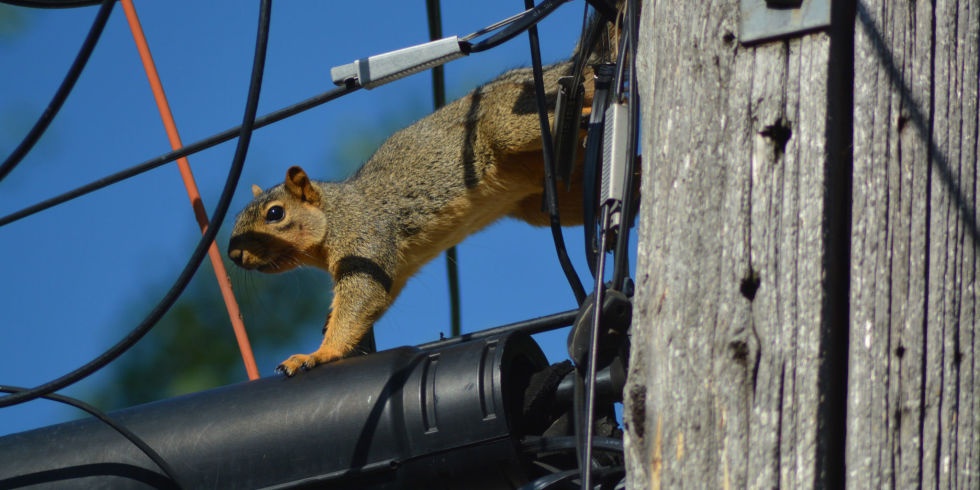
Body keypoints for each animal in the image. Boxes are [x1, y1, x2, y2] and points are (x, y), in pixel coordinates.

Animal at [228, 20, 620, 376]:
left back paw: (589, 115)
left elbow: (361, 298)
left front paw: (318, 354)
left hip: (511, 120)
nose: (234, 254)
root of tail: (562, 70)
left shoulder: (366, 241)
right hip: (550, 197)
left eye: (275, 213)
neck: (335, 214)